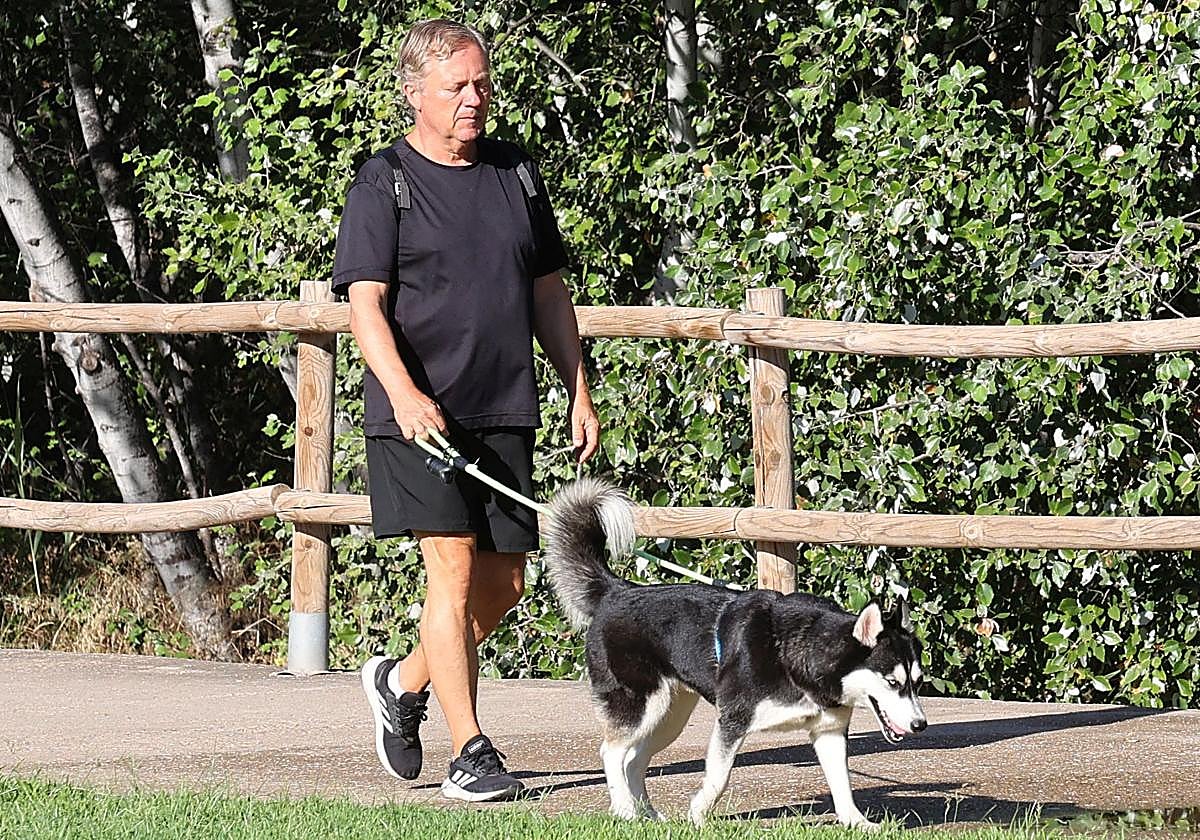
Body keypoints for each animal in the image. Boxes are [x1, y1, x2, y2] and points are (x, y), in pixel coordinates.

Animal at [541, 478, 927, 828]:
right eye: (893, 683)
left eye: (918, 683)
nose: (920, 725)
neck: (798, 655)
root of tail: (616, 591)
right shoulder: (733, 719)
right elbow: (719, 776)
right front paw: (699, 815)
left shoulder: (829, 730)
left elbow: (842, 785)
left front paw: (856, 822)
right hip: (640, 706)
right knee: (612, 753)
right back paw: (624, 810)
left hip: (668, 717)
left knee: (634, 761)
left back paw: (647, 814)